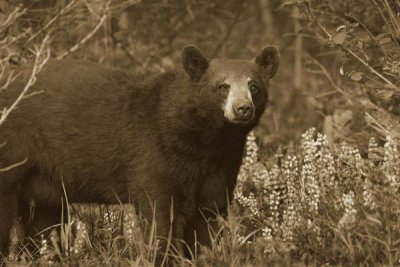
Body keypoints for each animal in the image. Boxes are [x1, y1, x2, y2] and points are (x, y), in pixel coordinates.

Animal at [0, 46, 280, 262]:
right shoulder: (156, 153)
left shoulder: (221, 164)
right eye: (222, 86)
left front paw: (204, 255)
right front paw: (162, 256)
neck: (206, 140)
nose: (242, 108)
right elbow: (159, 214)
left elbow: (208, 215)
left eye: (253, 86)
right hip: (13, 150)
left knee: (45, 223)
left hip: (43, 180)